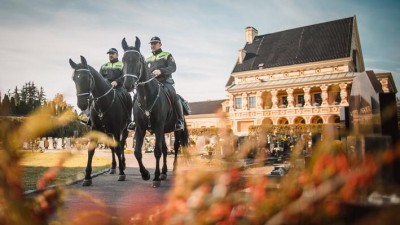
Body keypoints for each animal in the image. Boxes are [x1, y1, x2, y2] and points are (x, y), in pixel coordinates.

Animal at [69, 55, 131, 185]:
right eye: (74, 79)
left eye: (87, 78)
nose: (82, 104)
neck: (103, 103)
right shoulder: (95, 129)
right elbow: (91, 150)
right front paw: (87, 177)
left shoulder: (116, 130)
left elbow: (118, 149)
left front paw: (122, 173)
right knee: (112, 148)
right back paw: (113, 167)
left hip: (124, 130)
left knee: (121, 145)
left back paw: (122, 164)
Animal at [120, 37, 189, 188]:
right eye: (123, 60)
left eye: (138, 60)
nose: (128, 85)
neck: (147, 96)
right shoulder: (140, 128)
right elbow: (137, 152)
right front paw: (145, 174)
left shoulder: (158, 126)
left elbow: (157, 151)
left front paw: (155, 178)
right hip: (163, 132)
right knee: (165, 149)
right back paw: (164, 172)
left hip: (175, 130)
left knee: (176, 147)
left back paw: (173, 169)